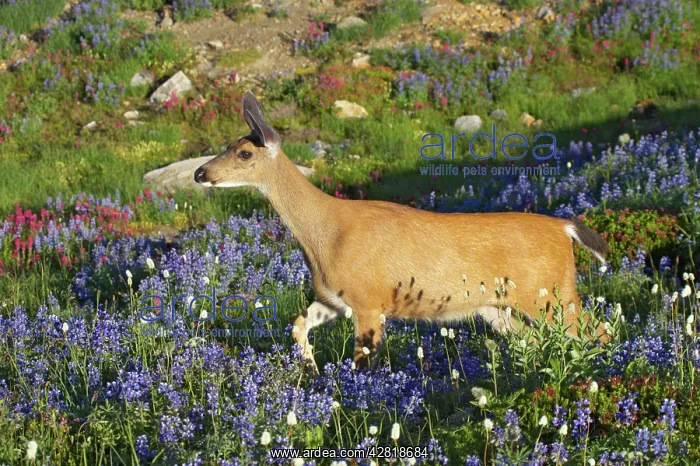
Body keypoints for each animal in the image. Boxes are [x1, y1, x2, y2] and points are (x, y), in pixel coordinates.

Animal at [194, 91, 610, 372]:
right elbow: (298, 326)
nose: (200, 173)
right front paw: (311, 371)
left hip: (551, 292)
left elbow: (363, 365)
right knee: (539, 342)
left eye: (244, 153)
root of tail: (564, 227)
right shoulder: (334, 297)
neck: (326, 236)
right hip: (500, 307)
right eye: (229, 144)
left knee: (598, 330)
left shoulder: (369, 299)